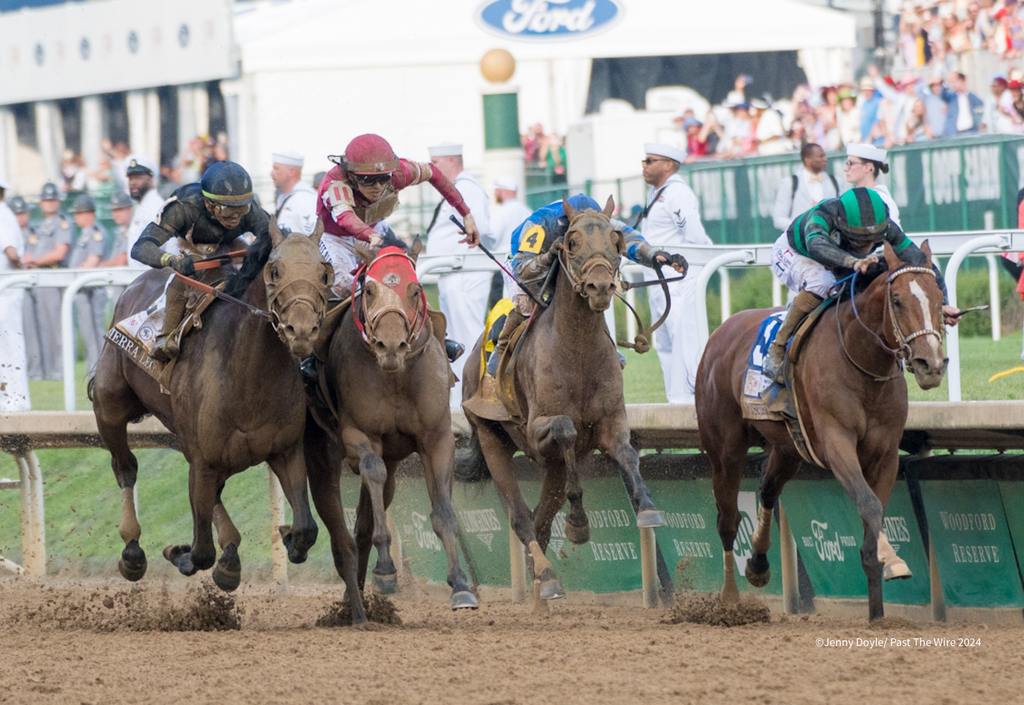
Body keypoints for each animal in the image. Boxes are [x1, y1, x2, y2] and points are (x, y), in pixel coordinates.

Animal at [90, 220, 333, 594]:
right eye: (275, 271)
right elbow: (201, 551)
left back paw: (230, 553)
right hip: (110, 406)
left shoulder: (286, 451)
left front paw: (286, 537)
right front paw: (181, 553)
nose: (303, 331)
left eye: (323, 272)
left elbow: (307, 529)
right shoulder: (204, 460)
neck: (248, 376)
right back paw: (132, 551)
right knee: (125, 468)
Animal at [307, 243, 475, 610]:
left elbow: (443, 511)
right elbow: (372, 471)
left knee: (366, 518)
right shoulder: (359, 436)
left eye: (415, 289)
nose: (391, 346)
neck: (396, 375)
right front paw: (385, 570)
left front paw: (460, 584)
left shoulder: (438, 437)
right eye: (369, 290)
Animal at [462, 195, 663, 602]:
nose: (600, 286)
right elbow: (566, 429)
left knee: (540, 519)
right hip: (491, 438)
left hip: (550, 467)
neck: (578, 350)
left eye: (616, 239)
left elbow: (627, 453)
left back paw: (542, 579)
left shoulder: (610, 421)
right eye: (570, 241)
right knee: (522, 518)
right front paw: (578, 523)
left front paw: (647, 506)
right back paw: (548, 576)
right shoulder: (539, 429)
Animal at [696, 240, 942, 614]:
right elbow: (869, 503)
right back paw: (729, 600)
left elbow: (874, 510)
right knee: (727, 519)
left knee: (767, 491)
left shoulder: (885, 452)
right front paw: (889, 560)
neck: (863, 362)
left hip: (788, 449)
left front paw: (883, 586)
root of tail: (721, 332)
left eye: (939, 296)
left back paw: (758, 565)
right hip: (725, 450)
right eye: (898, 299)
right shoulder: (837, 443)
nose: (931, 364)